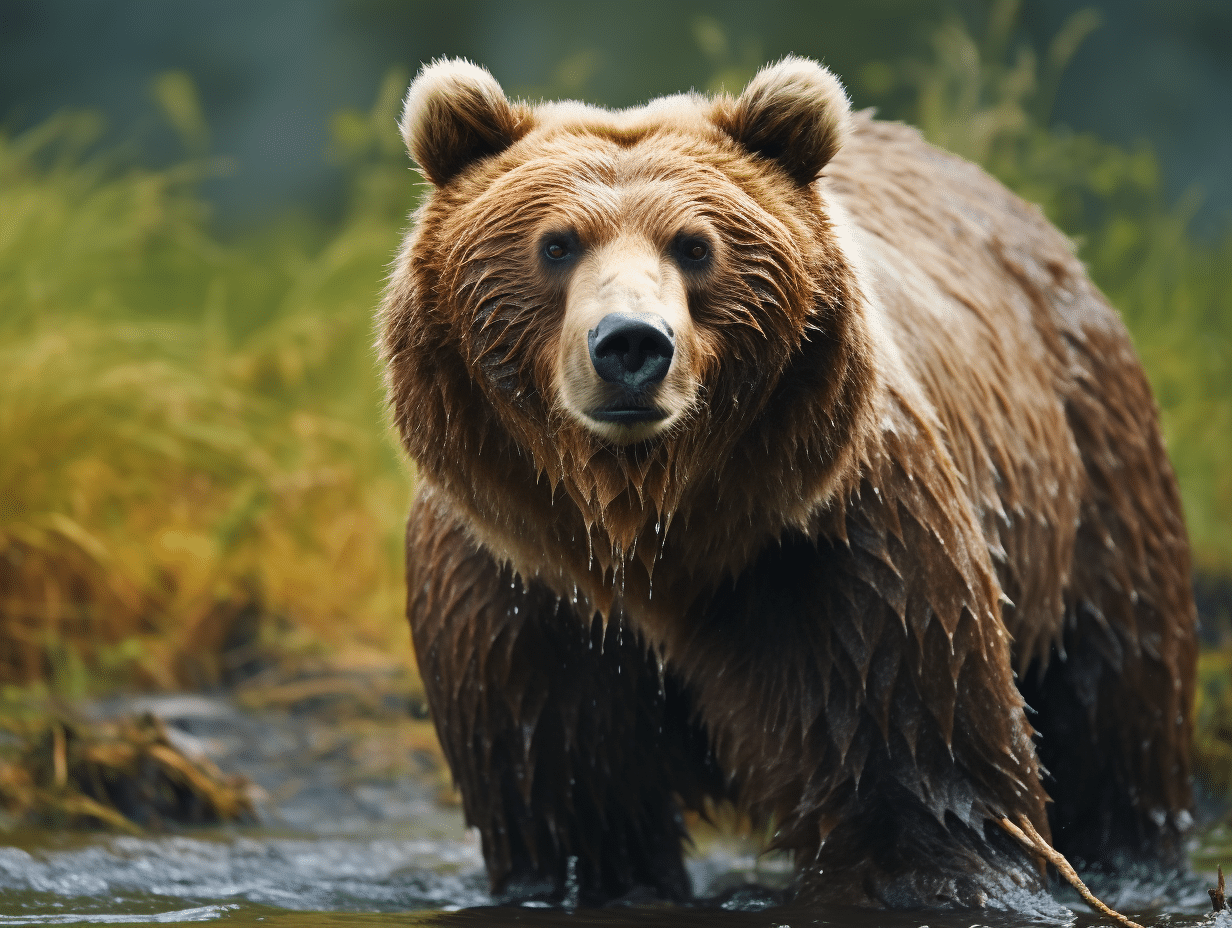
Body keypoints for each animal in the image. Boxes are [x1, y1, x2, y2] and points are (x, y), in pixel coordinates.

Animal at [379, 57, 1197, 910]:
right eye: (557, 244)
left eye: (695, 245)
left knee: (1115, 707)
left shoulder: (836, 549)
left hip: (1092, 483)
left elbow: (925, 786)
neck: (648, 531)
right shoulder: (522, 591)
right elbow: (572, 811)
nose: (631, 344)